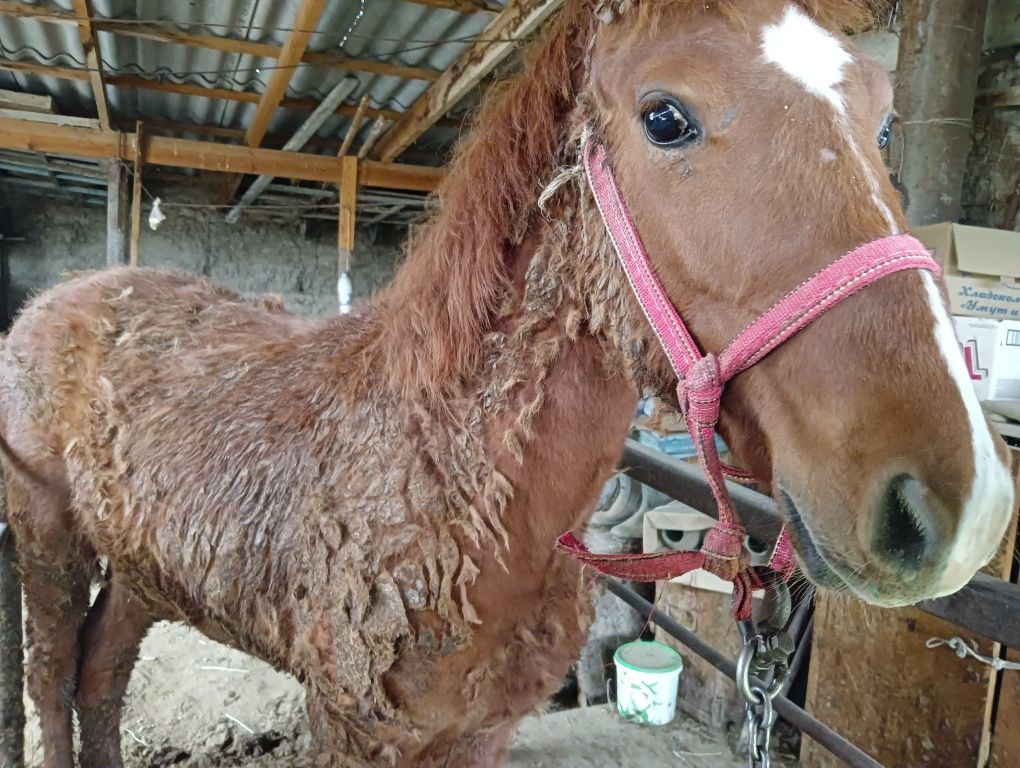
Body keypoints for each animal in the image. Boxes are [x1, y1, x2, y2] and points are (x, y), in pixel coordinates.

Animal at [0, 1, 1007, 766]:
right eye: (665, 118)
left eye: (884, 122)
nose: (962, 504)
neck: (445, 477)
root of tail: (64, 300)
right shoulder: (352, 730)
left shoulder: (476, 735)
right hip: (48, 542)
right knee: (54, 679)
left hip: (145, 569)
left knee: (100, 674)